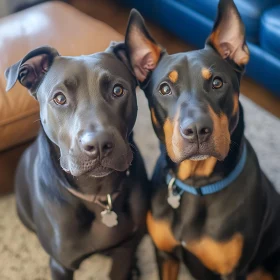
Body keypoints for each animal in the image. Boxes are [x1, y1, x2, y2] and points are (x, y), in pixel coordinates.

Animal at [4, 44, 149, 278]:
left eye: (118, 90)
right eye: (59, 98)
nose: (98, 144)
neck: (98, 194)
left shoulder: (123, 252)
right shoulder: (61, 265)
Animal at [121, 1, 280, 280]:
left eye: (217, 82)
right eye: (164, 88)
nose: (196, 130)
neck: (196, 184)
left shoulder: (232, 272)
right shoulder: (166, 255)